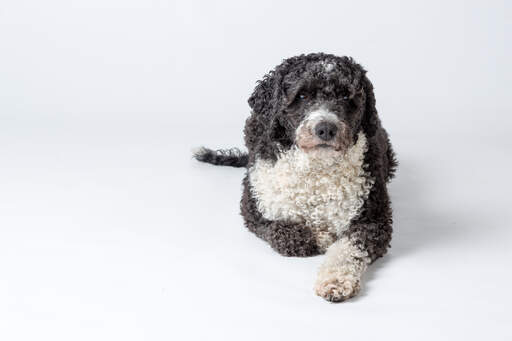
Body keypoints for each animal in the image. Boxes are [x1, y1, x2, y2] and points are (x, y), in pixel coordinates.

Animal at [194, 51, 398, 302]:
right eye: (301, 95)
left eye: (346, 95)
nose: (326, 129)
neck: (316, 172)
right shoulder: (254, 210)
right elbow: (287, 232)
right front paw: (320, 236)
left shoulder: (374, 220)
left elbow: (348, 248)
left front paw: (335, 280)